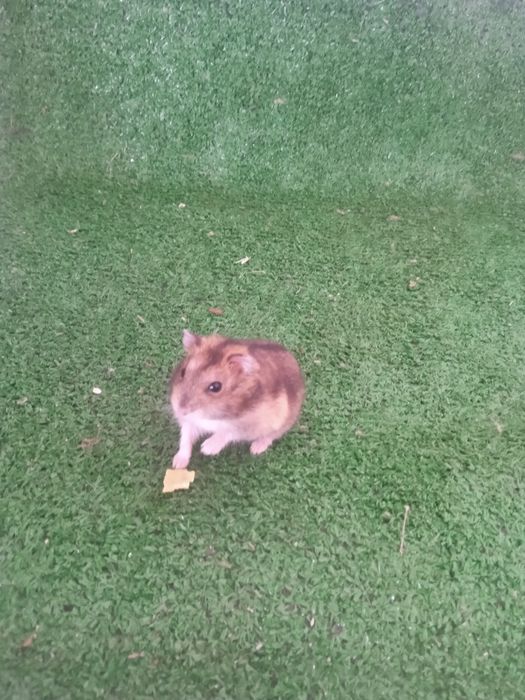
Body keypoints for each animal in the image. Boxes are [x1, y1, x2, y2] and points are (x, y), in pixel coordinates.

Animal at [169, 330, 305, 469]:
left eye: (216, 387)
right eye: (183, 372)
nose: (180, 410)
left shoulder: (251, 424)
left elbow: (229, 431)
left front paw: (206, 448)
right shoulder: (190, 421)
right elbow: (186, 436)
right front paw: (177, 464)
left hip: (283, 423)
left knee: (270, 436)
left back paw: (256, 449)